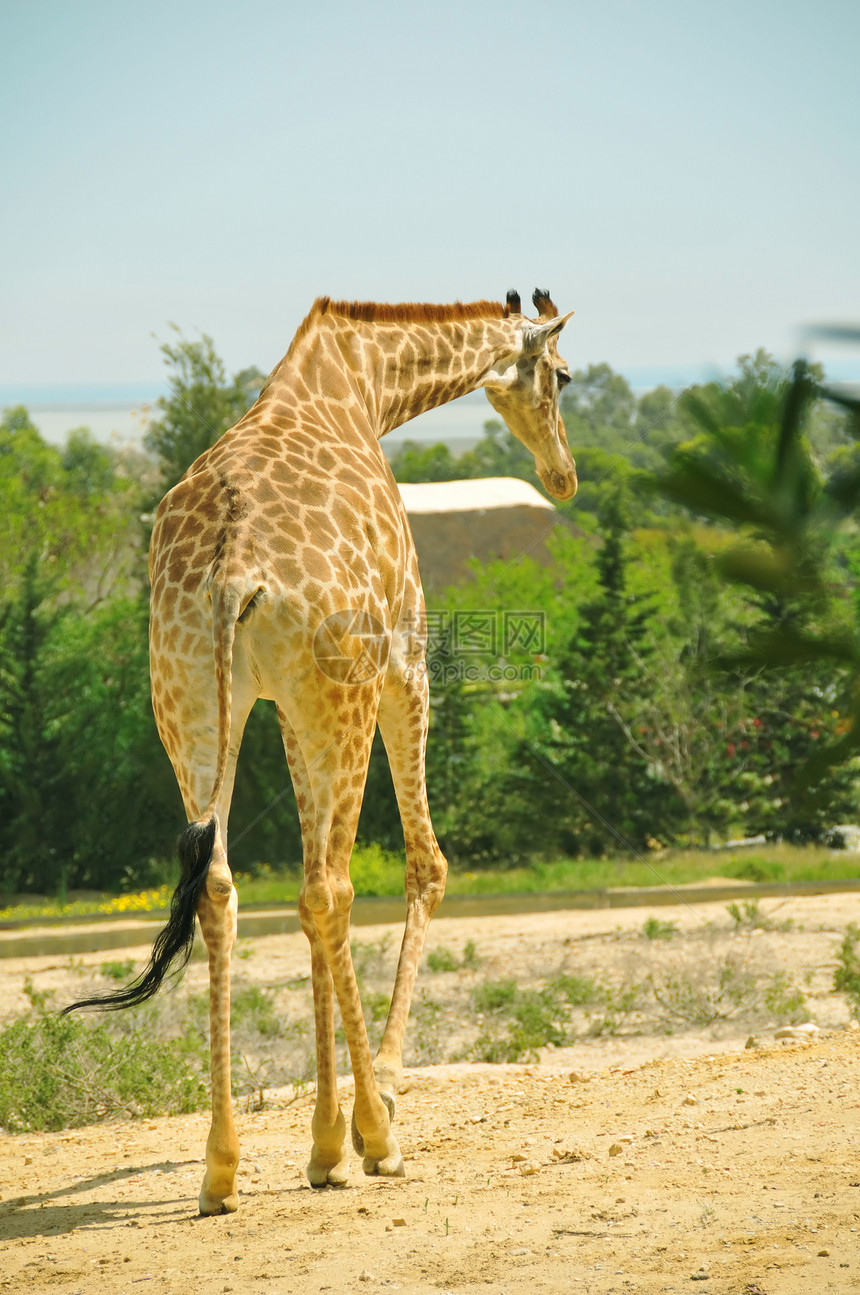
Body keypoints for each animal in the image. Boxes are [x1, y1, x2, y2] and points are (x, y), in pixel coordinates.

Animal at [67, 283, 577, 1212]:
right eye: (565, 375)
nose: (565, 477)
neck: (362, 383)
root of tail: (232, 568)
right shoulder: (407, 656)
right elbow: (422, 863)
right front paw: (369, 1116)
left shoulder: (276, 705)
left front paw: (322, 1141)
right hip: (343, 691)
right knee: (328, 888)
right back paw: (379, 1135)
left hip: (189, 703)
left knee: (223, 887)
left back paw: (222, 1167)